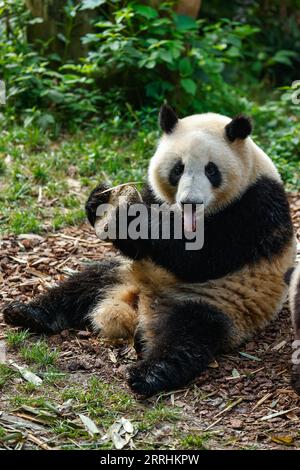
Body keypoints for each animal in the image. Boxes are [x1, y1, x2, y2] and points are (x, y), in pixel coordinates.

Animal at [3, 106, 296, 396]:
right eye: (178, 168)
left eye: (211, 170)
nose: (190, 202)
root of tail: (141, 302)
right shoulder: (155, 197)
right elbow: (139, 246)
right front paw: (98, 201)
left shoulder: (253, 206)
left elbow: (200, 258)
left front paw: (129, 216)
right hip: (124, 273)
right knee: (83, 285)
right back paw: (25, 312)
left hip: (217, 301)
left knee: (187, 335)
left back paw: (147, 373)